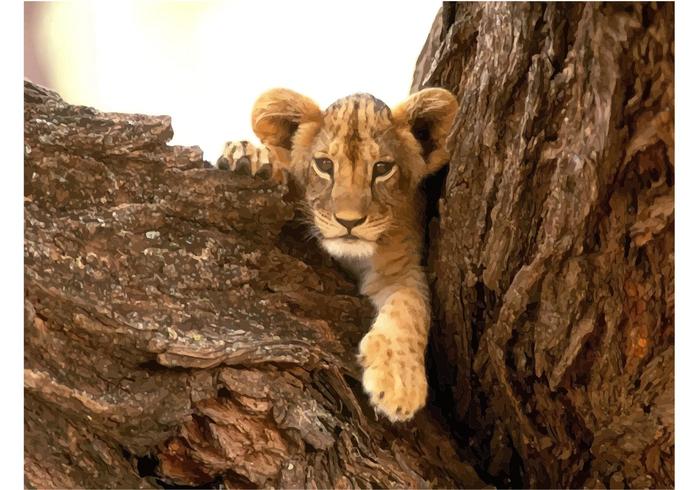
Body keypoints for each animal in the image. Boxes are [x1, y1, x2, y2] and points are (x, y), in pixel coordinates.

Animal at [217, 87, 457, 422]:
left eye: (382, 168)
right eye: (325, 165)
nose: (349, 221)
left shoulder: (402, 266)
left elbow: (411, 307)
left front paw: (399, 384)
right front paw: (250, 156)